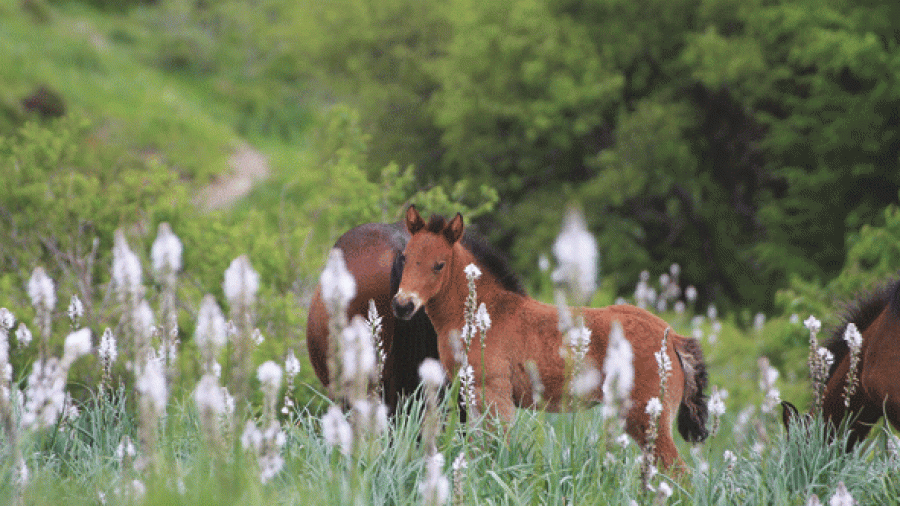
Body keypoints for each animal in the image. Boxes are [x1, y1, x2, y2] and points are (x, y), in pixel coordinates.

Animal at [394, 206, 712, 466]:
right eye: (406, 258)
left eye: (439, 264)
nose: (402, 305)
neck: (486, 315)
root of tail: (672, 338)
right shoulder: (469, 395)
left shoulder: (495, 395)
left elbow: (496, 452)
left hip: (647, 418)